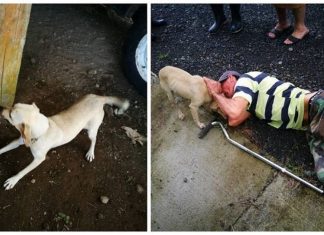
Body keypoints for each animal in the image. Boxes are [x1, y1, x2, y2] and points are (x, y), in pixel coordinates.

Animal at [0, 93, 129, 189]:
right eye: (12, 106)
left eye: (11, 115)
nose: (1, 109)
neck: (43, 131)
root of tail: (100, 98)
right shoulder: (19, 141)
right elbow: (3, 149)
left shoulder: (39, 159)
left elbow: (22, 171)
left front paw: (13, 180)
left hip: (92, 131)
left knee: (94, 140)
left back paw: (90, 153)